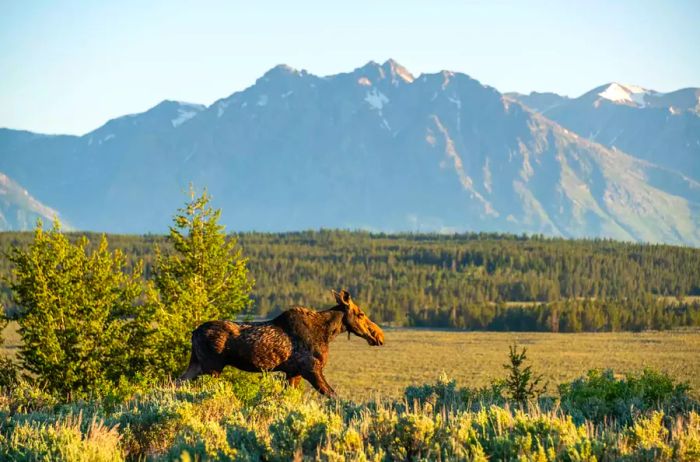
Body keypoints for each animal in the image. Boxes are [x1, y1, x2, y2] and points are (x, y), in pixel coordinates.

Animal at [179, 286, 382, 396]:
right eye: (361, 314)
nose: (379, 336)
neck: (326, 334)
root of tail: (193, 333)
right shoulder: (311, 370)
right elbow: (334, 395)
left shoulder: (293, 372)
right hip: (212, 367)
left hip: (197, 364)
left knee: (178, 382)